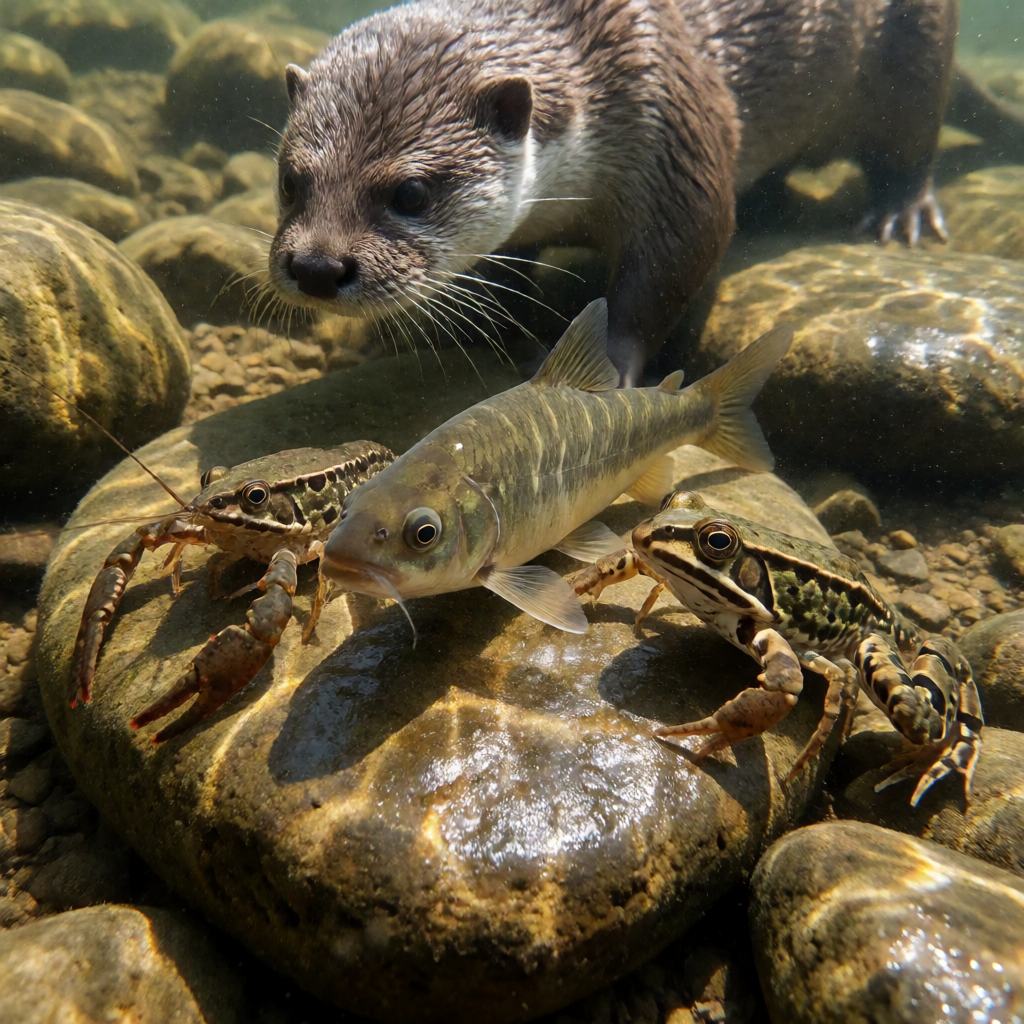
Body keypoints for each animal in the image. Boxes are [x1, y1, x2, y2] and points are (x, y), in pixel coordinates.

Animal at [269, 0, 958, 383]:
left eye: (411, 193)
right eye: (289, 181)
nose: (317, 267)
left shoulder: (672, 133)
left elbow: (675, 260)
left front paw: (600, 362)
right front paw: (480, 330)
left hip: (915, 47)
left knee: (912, 140)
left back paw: (902, 215)